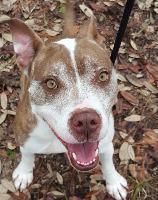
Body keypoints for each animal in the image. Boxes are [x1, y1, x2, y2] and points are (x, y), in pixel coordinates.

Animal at [2, 0, 127, 199]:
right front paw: (24, 172)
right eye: (51, 83)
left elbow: (108, 162)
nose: (86, 120)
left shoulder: (106, 143)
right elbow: (27, 156)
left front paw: (113, 181)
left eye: (102, 76)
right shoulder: (25, 139)